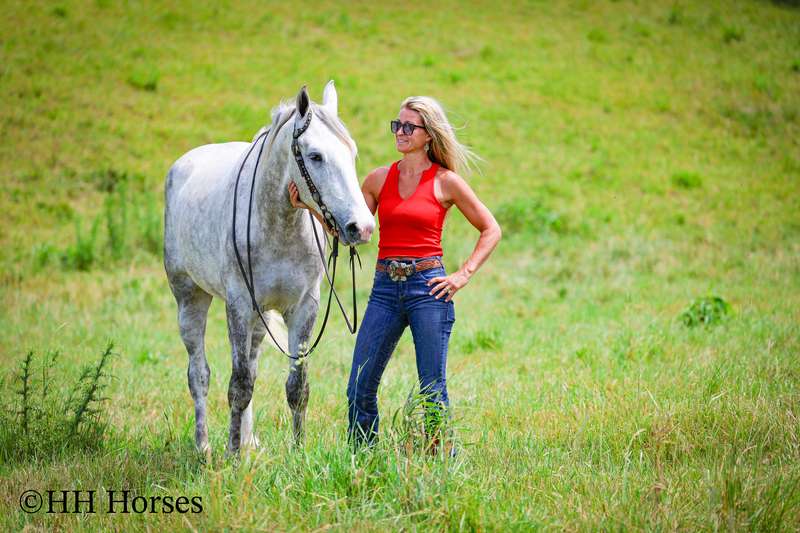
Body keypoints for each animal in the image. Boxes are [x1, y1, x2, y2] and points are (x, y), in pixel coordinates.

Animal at [163, 81, 375, 455]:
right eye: (315, 156)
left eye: (351, 155)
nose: (361, 228)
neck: (279, 225)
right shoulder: (238, 305)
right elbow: (238, 386)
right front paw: (232, 458)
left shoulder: (304, 308)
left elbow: (296, 387)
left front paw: (298, 453)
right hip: (190, 299)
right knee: (199, 375)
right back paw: (204, 447)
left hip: (259, 320)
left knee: (251, 365)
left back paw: (248, 441)